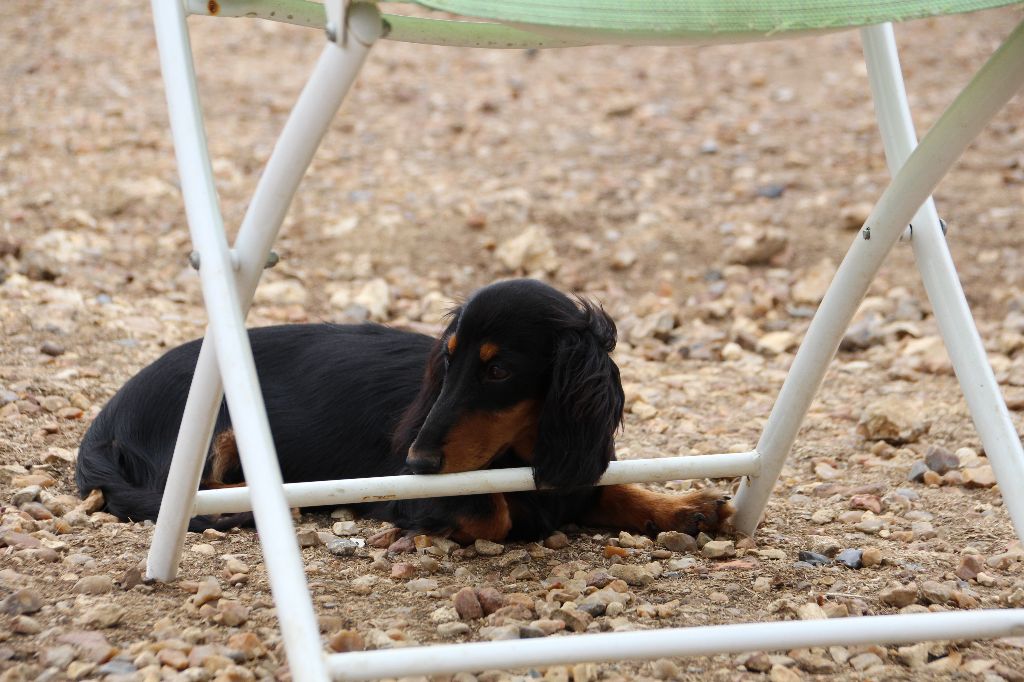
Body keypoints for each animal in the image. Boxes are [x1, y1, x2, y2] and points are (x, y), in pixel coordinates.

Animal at [77, 278, 737, 540]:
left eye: (498, 370)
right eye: (448, 359)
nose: (416, 461)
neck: (519, 450)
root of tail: (105, 421)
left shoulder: (570, 470)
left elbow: (613, 490)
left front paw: (684, 507)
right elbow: (493, 511)